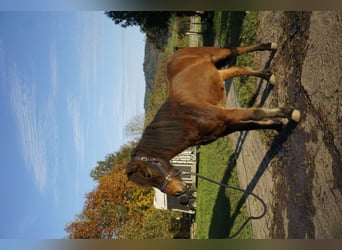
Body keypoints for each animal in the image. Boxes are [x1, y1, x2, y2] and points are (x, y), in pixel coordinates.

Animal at [125, 43, 300, 197]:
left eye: (147, 174)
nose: (178, 192)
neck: (187, 116)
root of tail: (178, 52)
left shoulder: (226, 115)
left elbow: (256, 113)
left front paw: (292, 113)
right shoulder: (227, 127)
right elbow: (252, 124)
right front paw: (277, 126)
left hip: (217, 54)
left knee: (235, 49)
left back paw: (271, 46)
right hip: (218, 73)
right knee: (237, 69)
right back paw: (269, 76)